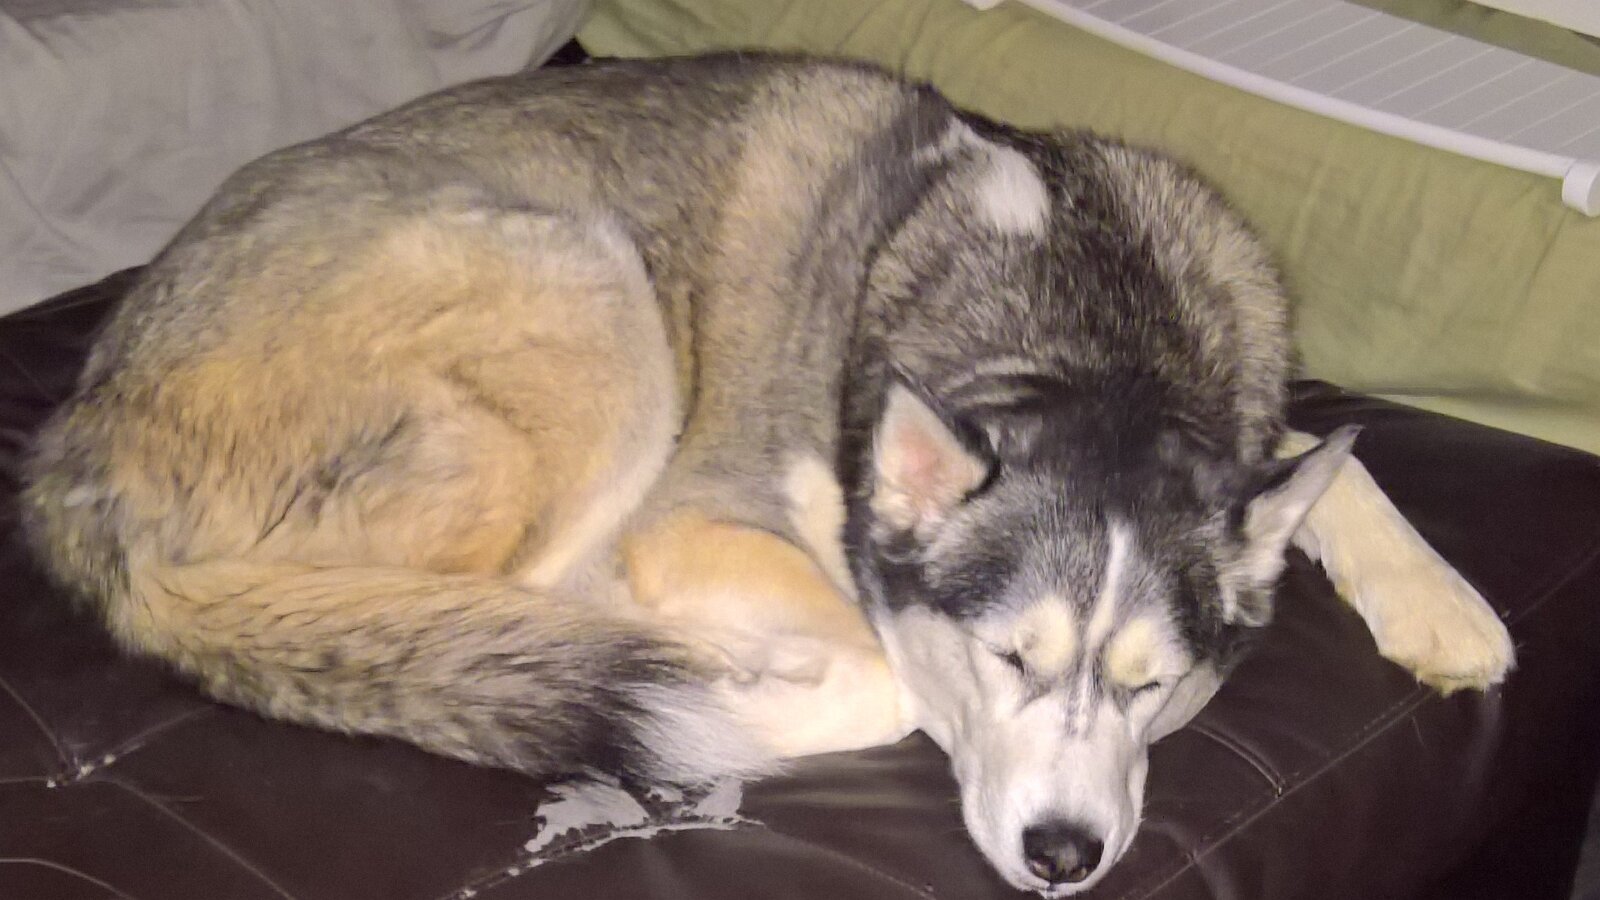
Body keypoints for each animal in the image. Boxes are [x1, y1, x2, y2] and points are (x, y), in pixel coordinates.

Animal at [21, 53, 1514, 895]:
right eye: (1006, 660)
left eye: (1159, 687)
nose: (1064, 859)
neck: (1087, 324)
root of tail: (76, 447)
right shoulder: (702, 521)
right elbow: (884, 676)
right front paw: (758, 691)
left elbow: (1334, 468)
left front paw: (1443, 604)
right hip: (592, 293)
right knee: (490, 596)